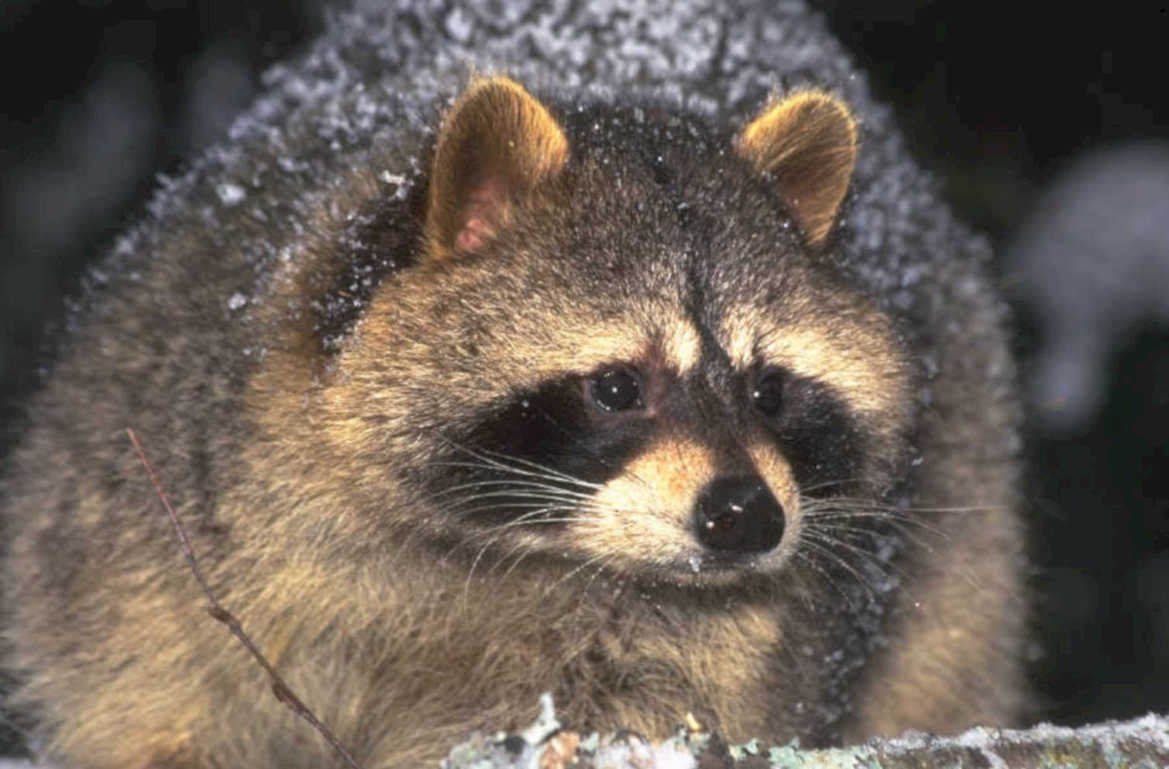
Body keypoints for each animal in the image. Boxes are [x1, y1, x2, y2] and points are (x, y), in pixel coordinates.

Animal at [1, 3, 1026, 768]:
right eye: (616, 386)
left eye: (769, 389)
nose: (745, 517)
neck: (507, 549)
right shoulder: (143, 534)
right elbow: (149, 699)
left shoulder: (728, 644)